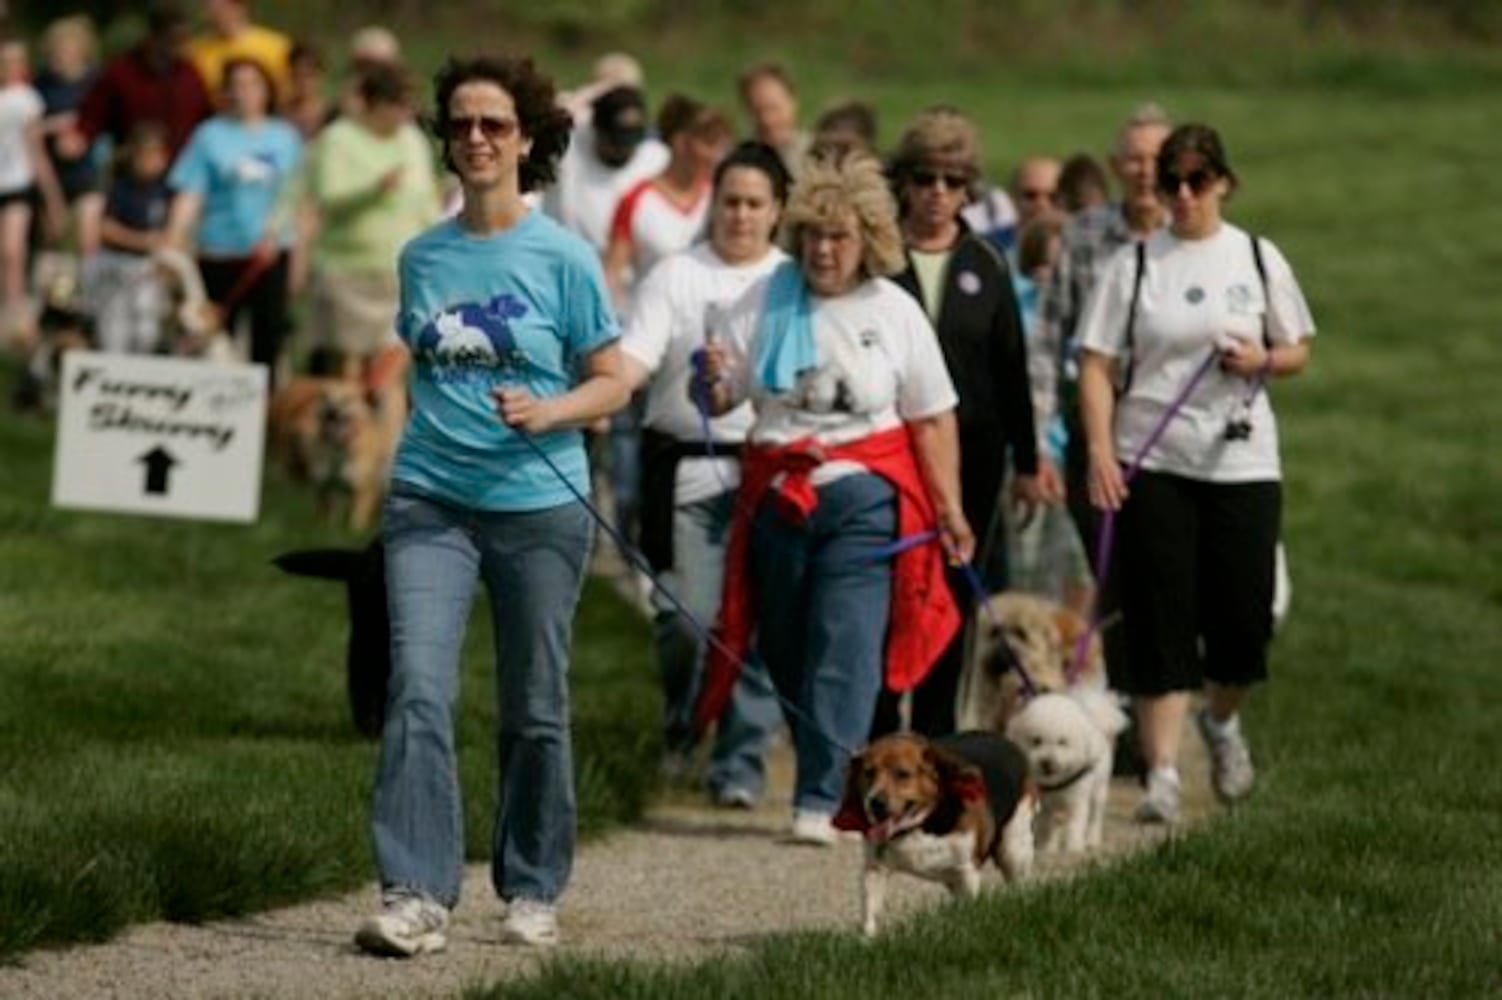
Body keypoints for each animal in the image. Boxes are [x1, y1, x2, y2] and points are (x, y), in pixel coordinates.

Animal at [835, 723, 1033, 936]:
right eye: (869, 772)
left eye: (903, 774)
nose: (875, 803)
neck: (920, 825)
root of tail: (1005, 740)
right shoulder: (875, 869)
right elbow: (870, 913)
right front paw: (868, 938)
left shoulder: (966, 872)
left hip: (1013, 848)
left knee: (1018, 882)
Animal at [1009, 690, 1129, 852]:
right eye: (1036, 741)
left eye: (1062, 742)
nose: (1046, 762)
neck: (1058, 783)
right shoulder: (1047, 805)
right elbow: (1048, 824)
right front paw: (1048, 846)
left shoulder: (1077, 801)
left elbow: (1075, 824)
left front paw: (1074, 846)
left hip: (1099, 791)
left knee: (1095, 817)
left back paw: (1091, 839)